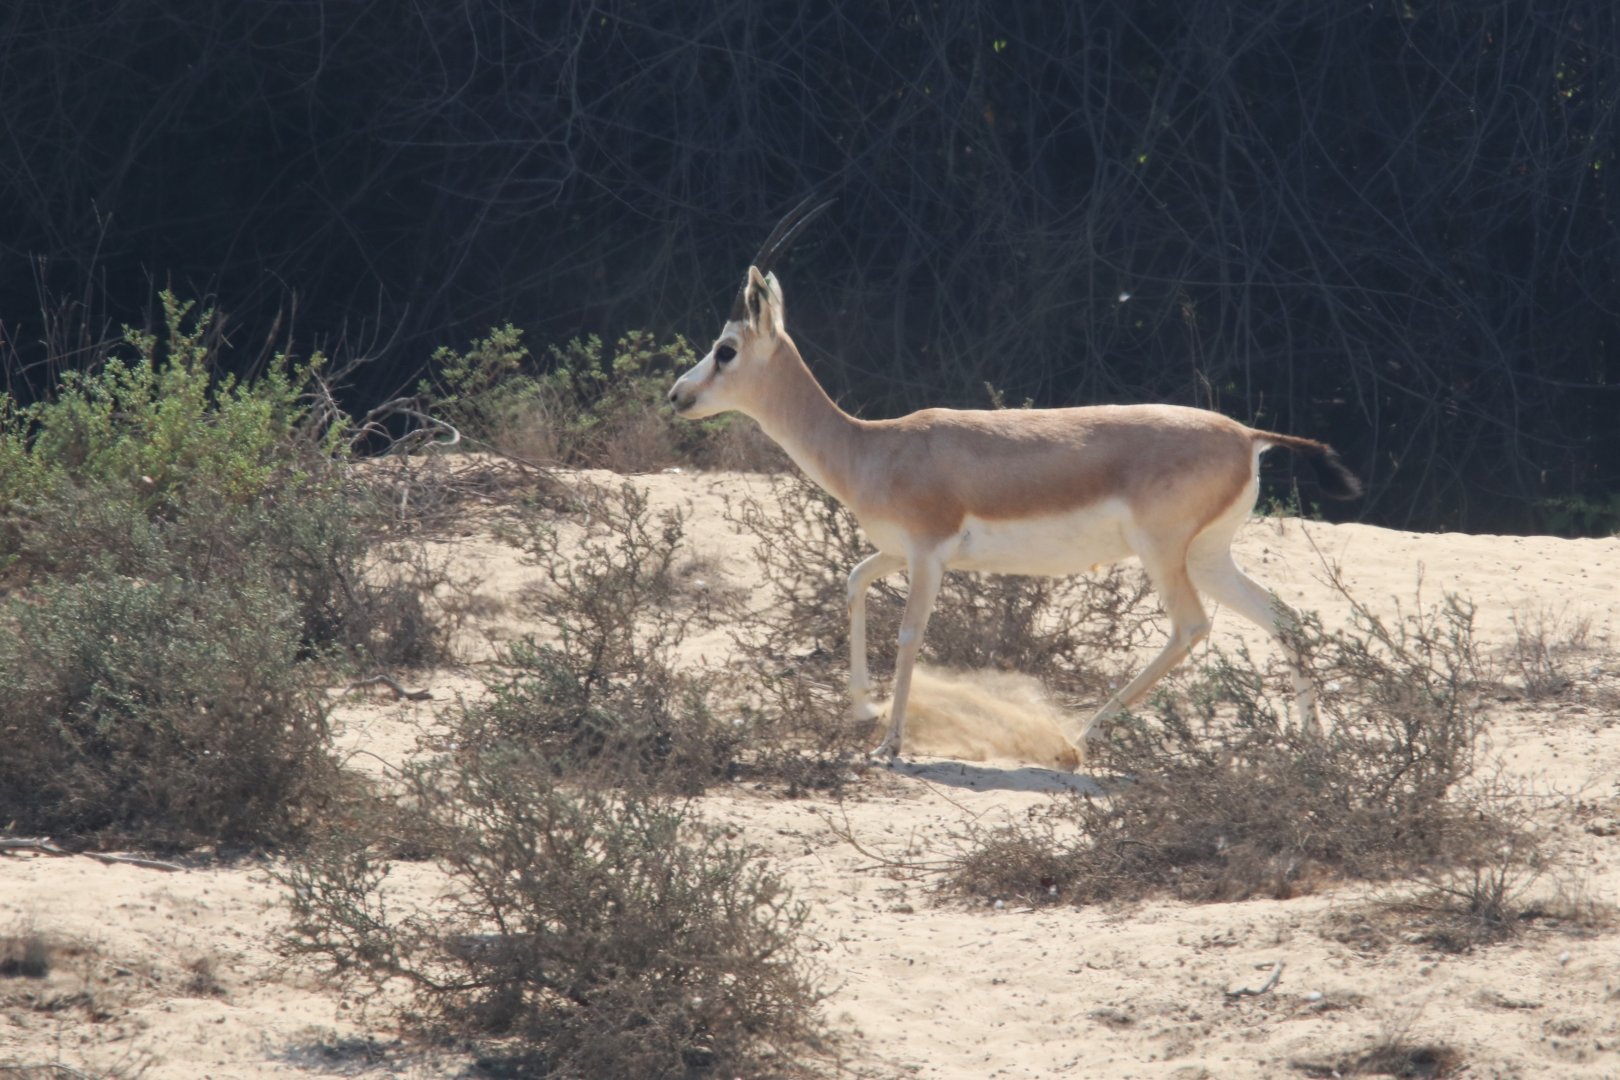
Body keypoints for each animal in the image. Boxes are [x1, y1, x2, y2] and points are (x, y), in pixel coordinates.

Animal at [668, 197, 1362, 760]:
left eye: (726, 349)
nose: (678, 396)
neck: (873, 446)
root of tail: (1247, 436)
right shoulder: (899, 550)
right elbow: (854, 580)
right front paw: (862, 705)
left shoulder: (927, 554)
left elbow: (910, 632)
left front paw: (889, 744)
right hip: (1209, 556)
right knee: (1284, 618)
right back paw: (1314, 746)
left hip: (1164, 554)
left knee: (1191, 626)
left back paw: (1083, 736)